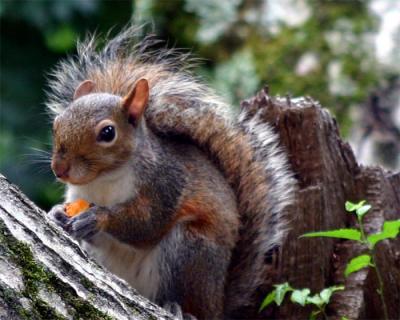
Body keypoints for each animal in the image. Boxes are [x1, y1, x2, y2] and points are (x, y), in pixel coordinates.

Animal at [47, 25, 296, 320]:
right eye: (56, 124)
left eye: (107, 133)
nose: (60, 169)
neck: (102, 181)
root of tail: (217, 303)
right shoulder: (77, 194)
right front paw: (56, 213)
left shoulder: (166, 184)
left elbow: (146, 224)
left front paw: (98, 217)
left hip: (188, 249)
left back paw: (178, 308)